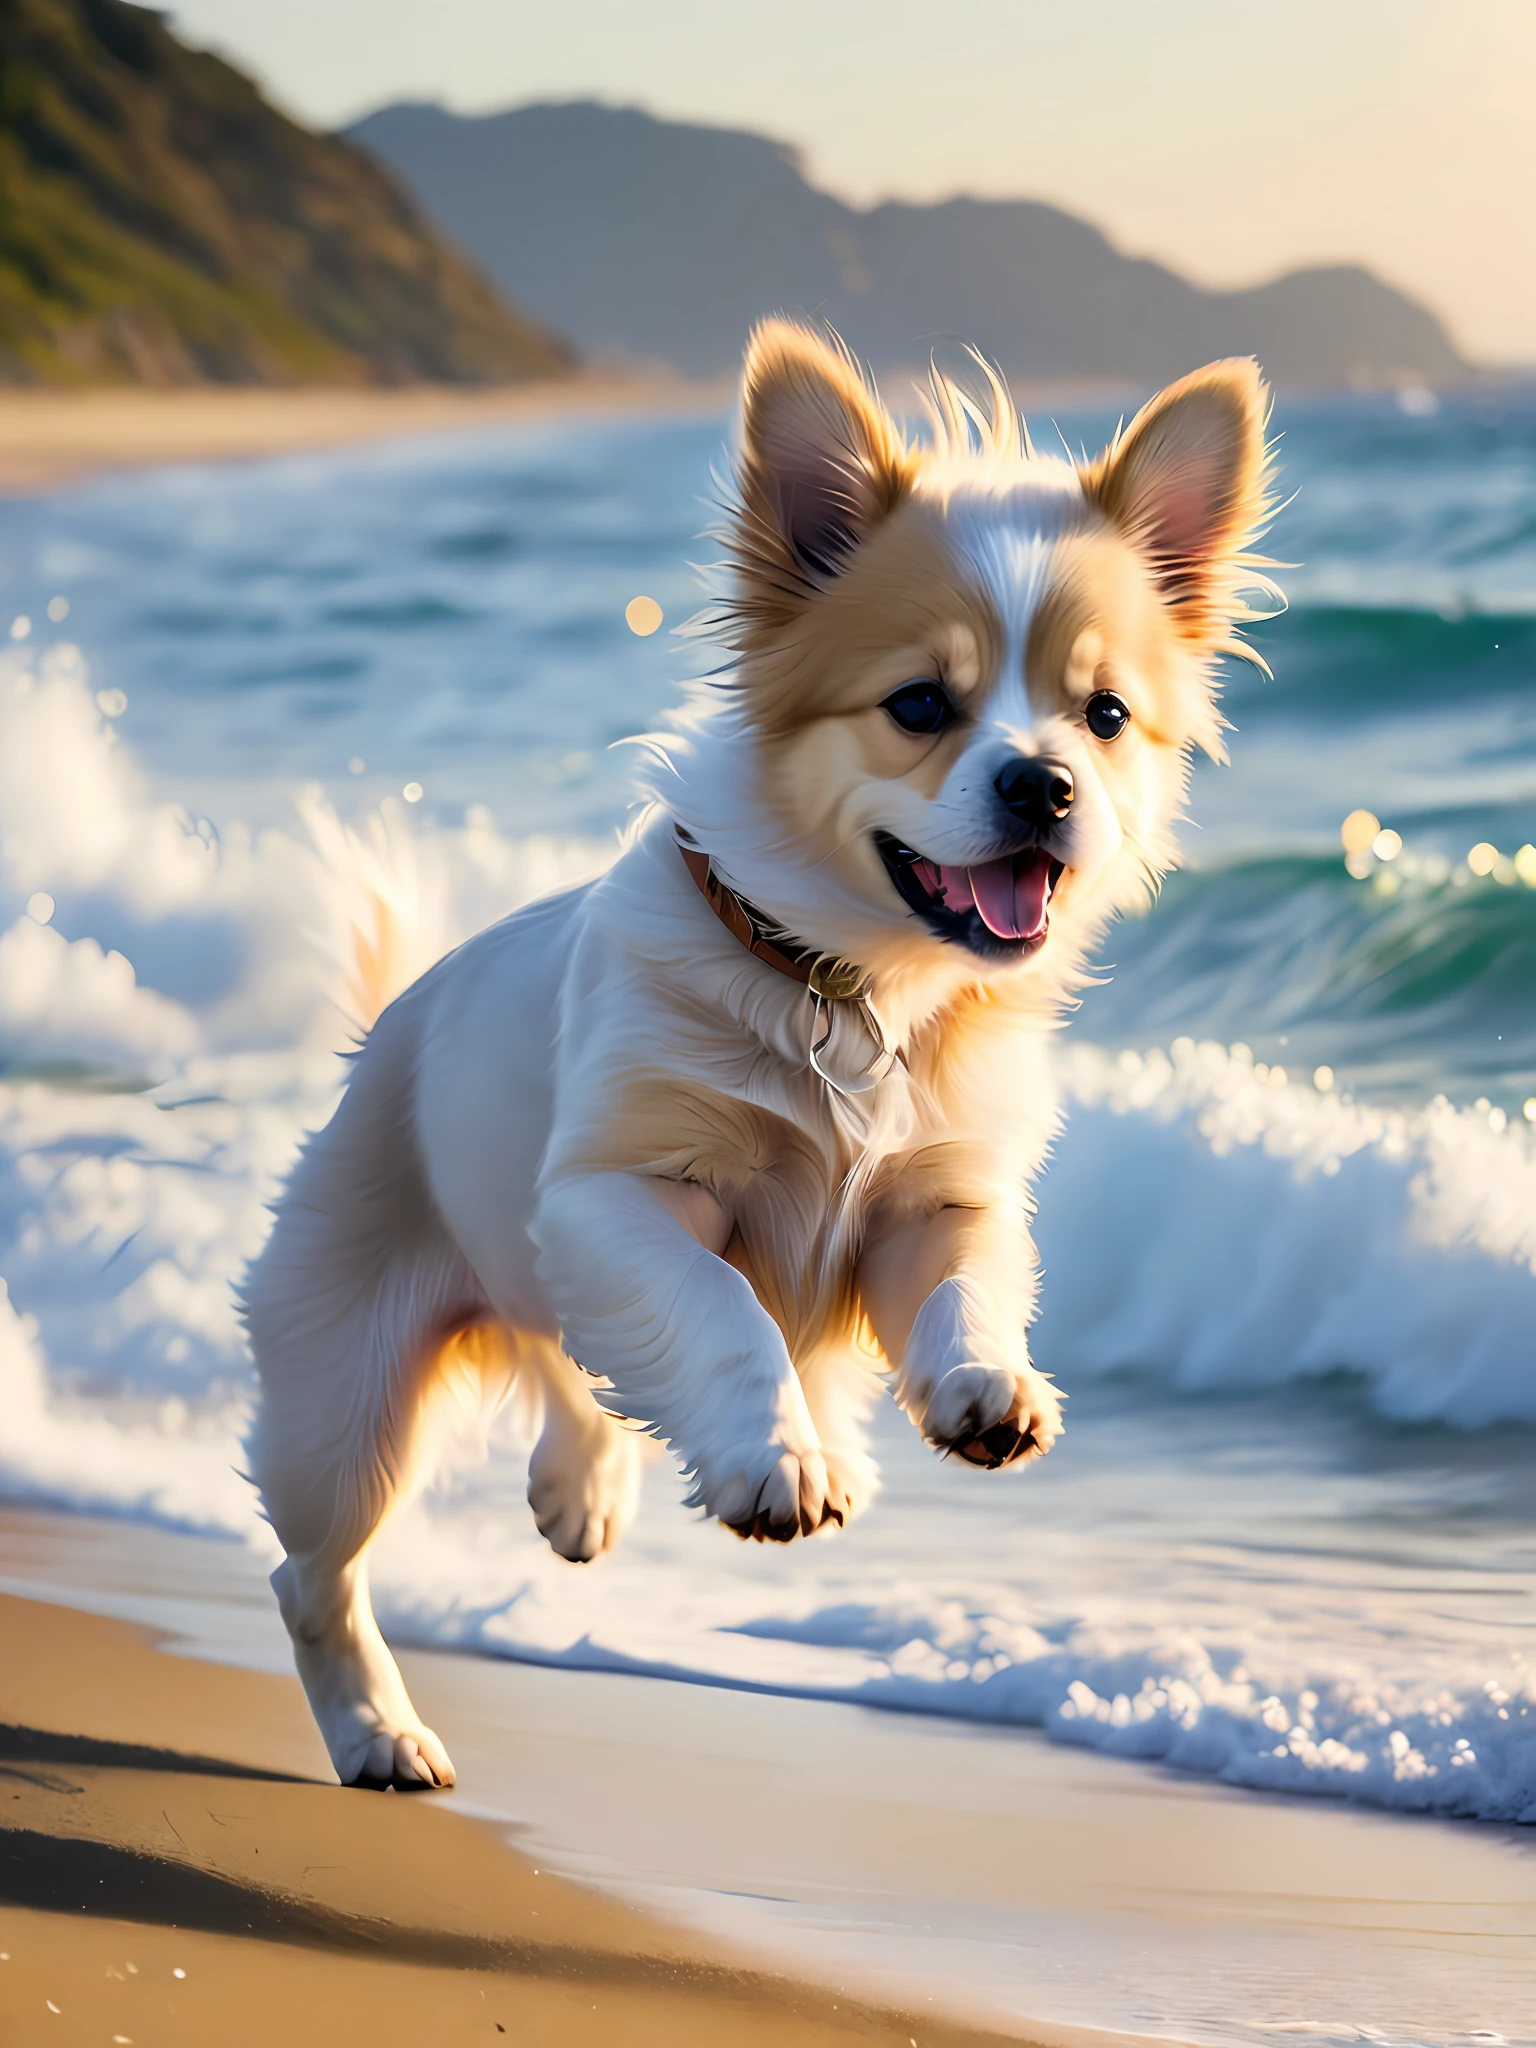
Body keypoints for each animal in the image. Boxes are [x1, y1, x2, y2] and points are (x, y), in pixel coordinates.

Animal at [240, 315, 1277, 1777]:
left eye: (1107, 718)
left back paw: (582, 1488)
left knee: (570, 1362)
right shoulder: (619, 1196)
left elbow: (965, 1289)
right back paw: (378, 1731)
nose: (1044, 783)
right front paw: (773, 1463)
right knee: (315, 1569)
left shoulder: (934, 1201)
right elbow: (720, 1307)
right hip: (345, 1393)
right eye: (920, 704)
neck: (857, 986)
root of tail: (382, 1037)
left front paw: (983, 1381)